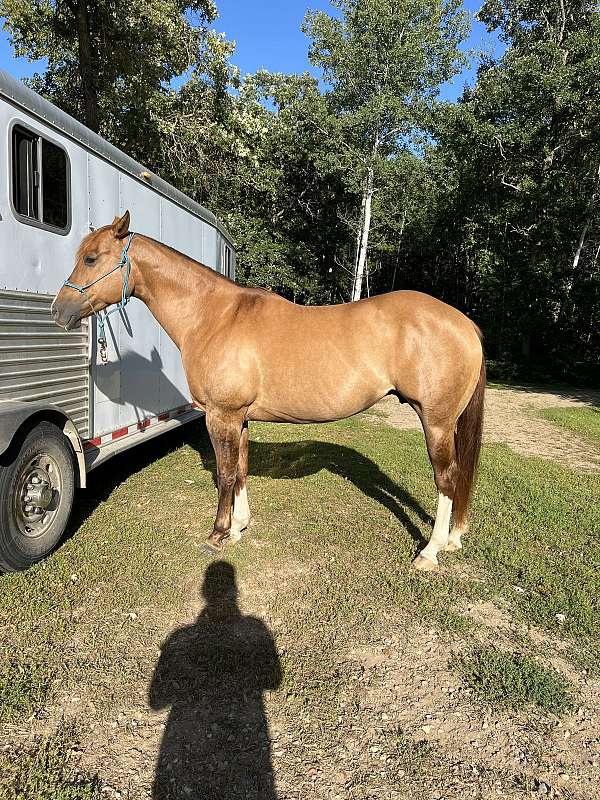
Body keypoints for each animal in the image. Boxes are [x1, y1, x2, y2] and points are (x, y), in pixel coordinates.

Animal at [52, 211, 485, 571]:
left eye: (92, 259)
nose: (59, 310)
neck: (215, 316)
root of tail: (464, 323)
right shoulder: (239, 418)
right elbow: (242, 469)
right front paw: (238, 527)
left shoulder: (221, 415)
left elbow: (226, 473)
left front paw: (217, 534)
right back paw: (452, 540)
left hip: (437, 422)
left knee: (447, 477)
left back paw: (430, 551)